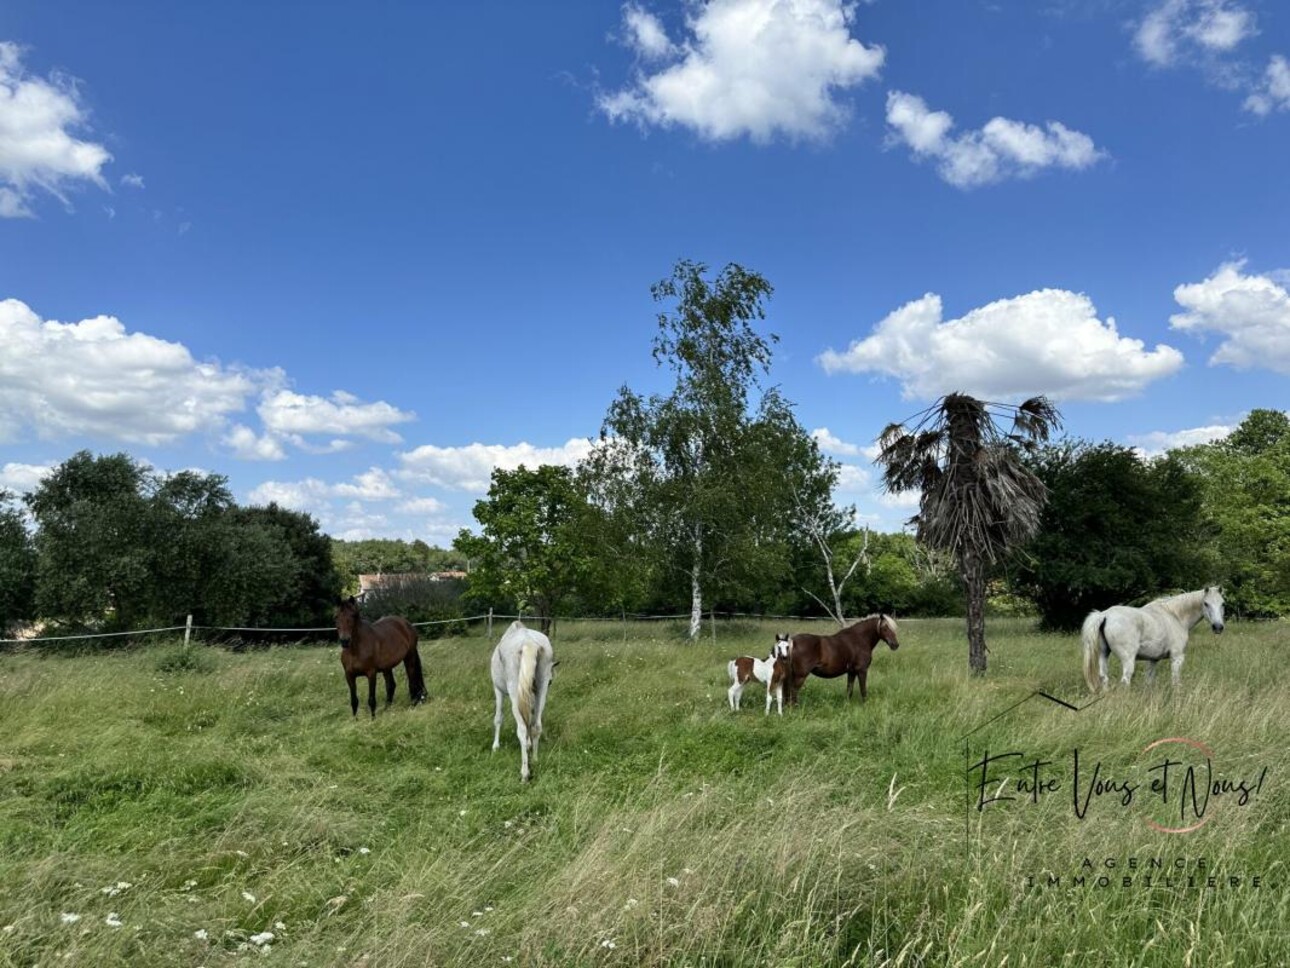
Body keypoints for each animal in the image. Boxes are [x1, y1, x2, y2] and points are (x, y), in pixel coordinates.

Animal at [492, 624, 554, 784]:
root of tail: (528, 641)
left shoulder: (497, 690)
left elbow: (498, 718)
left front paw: (495, 746)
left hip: (514, 689)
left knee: (521, 729)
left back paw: (525, 774)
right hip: (542, 687)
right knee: (536, 726)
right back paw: (536, 759)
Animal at [1083, 588, 1222, 691]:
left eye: (1222, 603)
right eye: (1206, 603)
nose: (1218, 627)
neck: (1175, 616)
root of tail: (1104, 615)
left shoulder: (1152, 660)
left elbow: (1149, 682)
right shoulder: (1177, 658)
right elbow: (1175, 682)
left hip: (1104, 654)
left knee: (1104, 677)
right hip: (1128, 660)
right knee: (1125, 681)